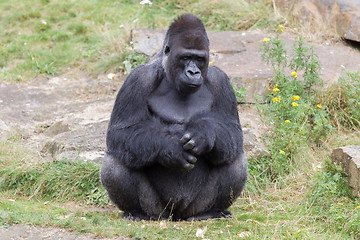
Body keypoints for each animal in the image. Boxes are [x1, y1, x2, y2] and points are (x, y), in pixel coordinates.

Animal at [101, 13, 248, 221]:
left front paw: (205, 133)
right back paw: (137, 212)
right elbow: (121, 132)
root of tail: (178, 214)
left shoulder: (221, 81)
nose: (193, 72)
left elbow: (232, 131)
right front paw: (171, 149)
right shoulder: (139, 78)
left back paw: (212, 211)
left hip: (195, 206)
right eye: (185, 57)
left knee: (233, 157)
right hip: (158, 209)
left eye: (199, 59)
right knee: (116, 160)